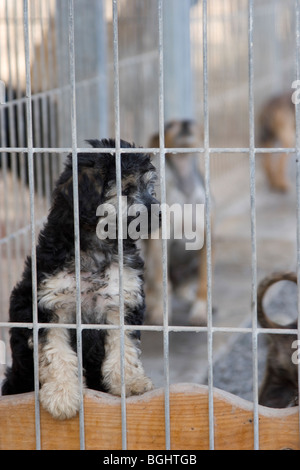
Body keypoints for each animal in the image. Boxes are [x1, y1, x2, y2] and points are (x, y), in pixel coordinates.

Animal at [1, 139, 161, 418]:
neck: (95, 247)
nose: (160, 215)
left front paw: (131, 383)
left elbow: (124, 346)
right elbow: (56, 353)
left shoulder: (121, 301)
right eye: (126, 189)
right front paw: (62, 395)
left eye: (149, 187)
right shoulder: (48, 306)